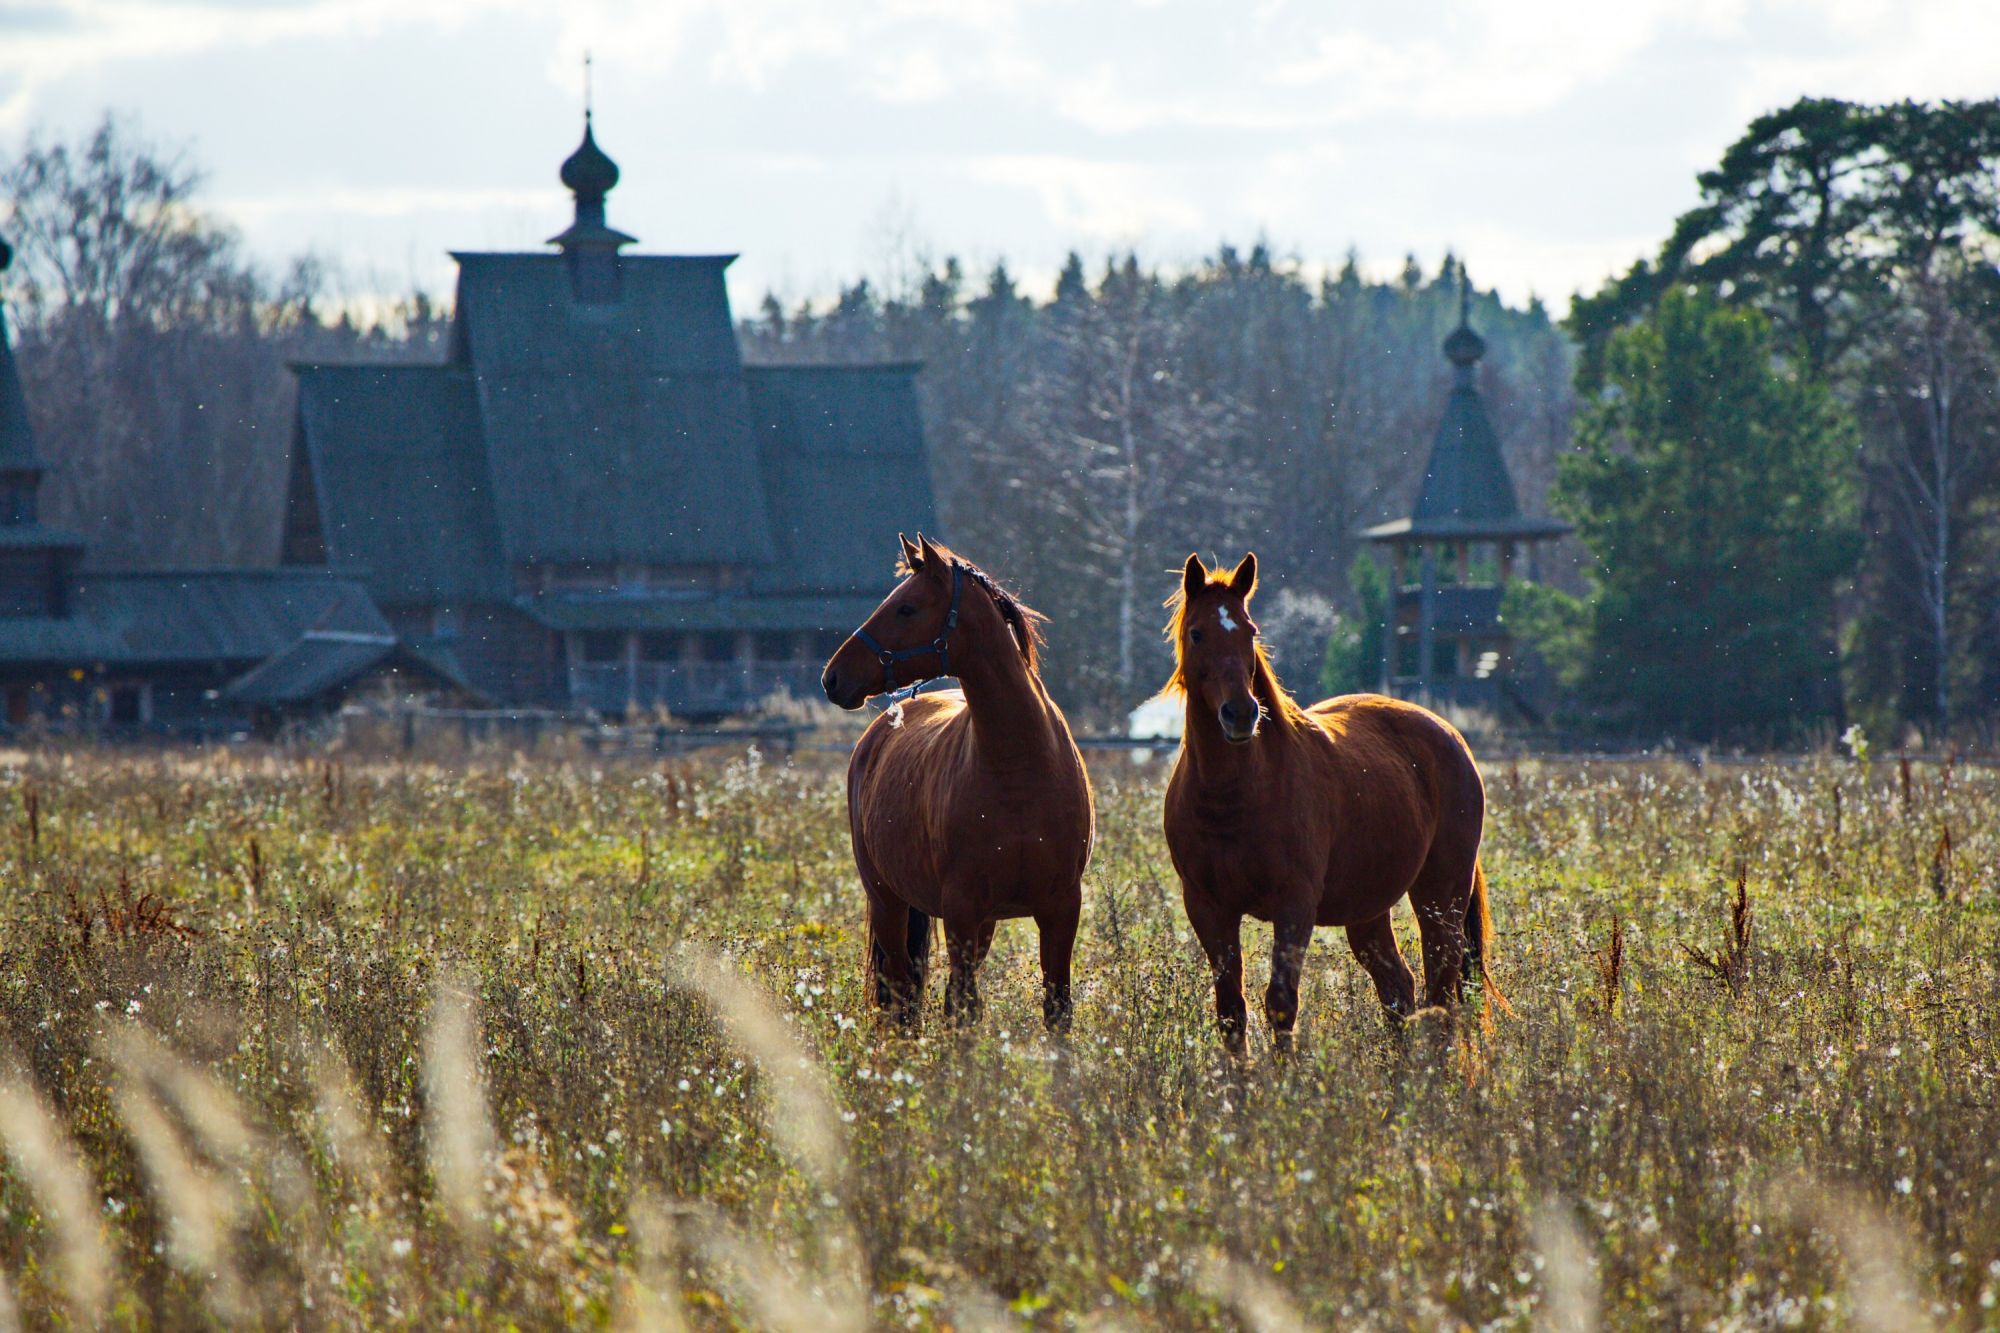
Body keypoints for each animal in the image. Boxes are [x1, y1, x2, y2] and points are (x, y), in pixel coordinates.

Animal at [820, 532, 1096, 1024]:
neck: (1019, 768)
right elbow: (964, 1010)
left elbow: (1055, 1008)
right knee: (901, 997)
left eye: (906, 608)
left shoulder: (1060, 908)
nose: (833, 677)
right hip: (888, 900)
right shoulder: (962, 910)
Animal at [1160, 548, 1504, 1048]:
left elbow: (1280, 1004)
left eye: (1249, 630)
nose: (1241, 714)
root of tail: (1448, 733)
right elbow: (1231, 1012)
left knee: (1439, 994)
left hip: (1441, 897)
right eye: (1197, 632)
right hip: (1369, 910)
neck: (1233, 796)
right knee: (1398, 990)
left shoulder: (1295, 905)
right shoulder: (1208, 908)